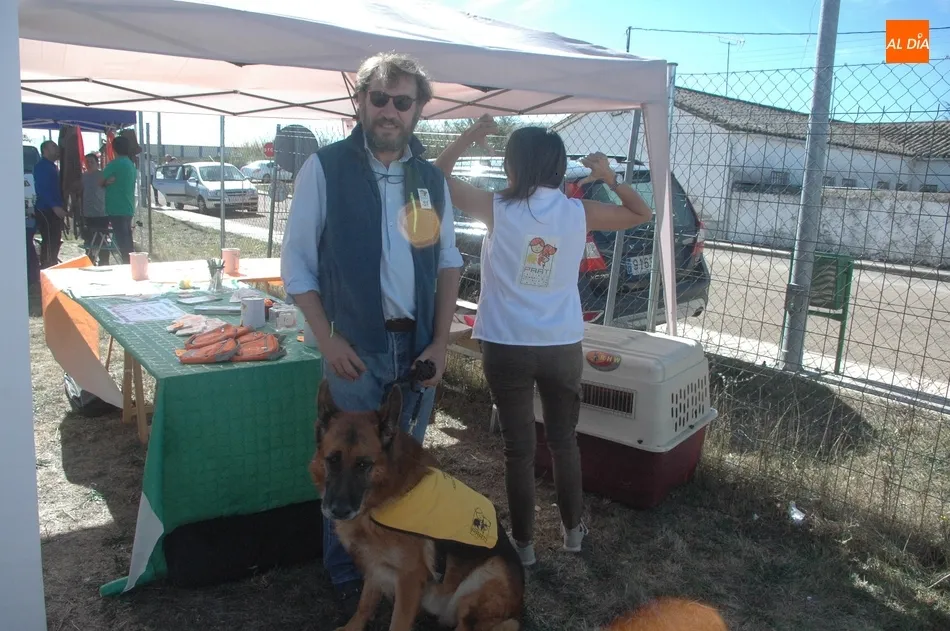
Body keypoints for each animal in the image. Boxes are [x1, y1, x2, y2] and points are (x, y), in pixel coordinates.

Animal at [309, 380, 525, 631]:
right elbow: (364, 604)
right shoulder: (375, 566)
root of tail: (517, 609)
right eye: (332, 460)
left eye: (363, 464)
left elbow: (397, 624)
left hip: (489, 574)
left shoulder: (409, 580)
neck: (384, 496)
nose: (339, 511)